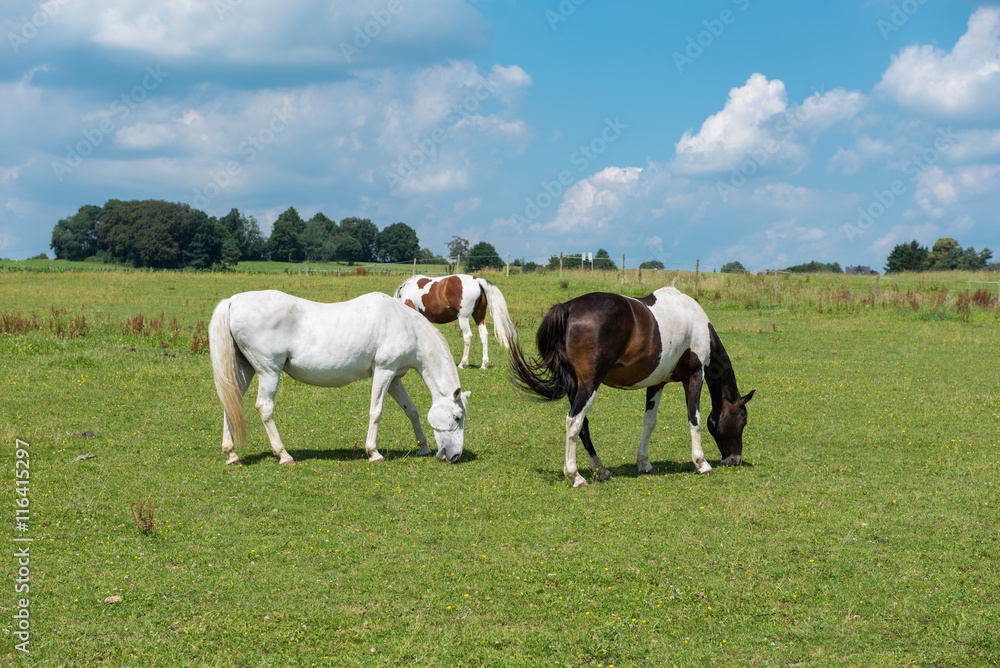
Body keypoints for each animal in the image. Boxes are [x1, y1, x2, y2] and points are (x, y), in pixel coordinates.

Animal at [208, 290, 470, 466]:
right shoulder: (384, 371)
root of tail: (233, 301)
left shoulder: (395, 378)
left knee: (231, 402)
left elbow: (411, 410)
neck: (405, 326)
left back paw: (232, 454)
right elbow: (376, 412)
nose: (455, 456)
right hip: (268, 372)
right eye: (457, 417)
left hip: (245, 370)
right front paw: (374, 453)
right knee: (265, 408)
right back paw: (284, 455)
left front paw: (423, 447)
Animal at [510, 286, 754, 488]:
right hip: (589, 385)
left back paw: (601, 471)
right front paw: (702, 463)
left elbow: (649, 422)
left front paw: (644, 462)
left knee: (583, 426)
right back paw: (575, 477)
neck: (696, 322)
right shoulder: (695, 375)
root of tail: (568, 307)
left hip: (576, 387)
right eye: (743, 420)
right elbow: (694, 420)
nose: (734, 460)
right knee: (574, 422)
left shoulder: (657, 383)